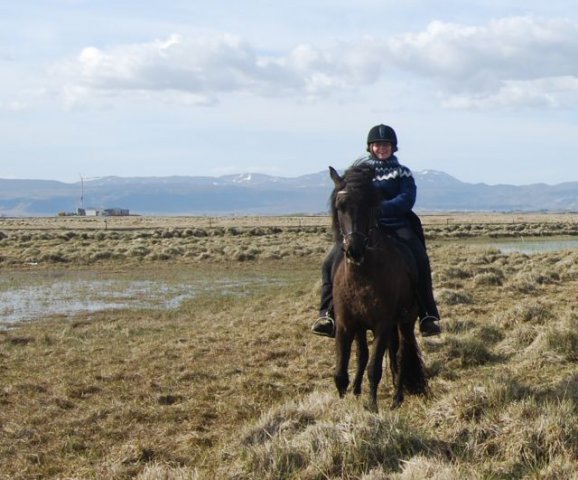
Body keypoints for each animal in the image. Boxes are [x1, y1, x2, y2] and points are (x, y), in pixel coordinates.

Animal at [326, 164, 426, 408]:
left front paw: (372, 406)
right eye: (340, 206)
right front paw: (345, 401)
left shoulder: (382, 323)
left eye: (370, 205)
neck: (362, 278)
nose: (354, 249)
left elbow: (374, 368)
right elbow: (341, 372)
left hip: (405, 320)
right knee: (369, 353)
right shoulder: (346, 323)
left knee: (401, 353)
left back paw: (397, 397)